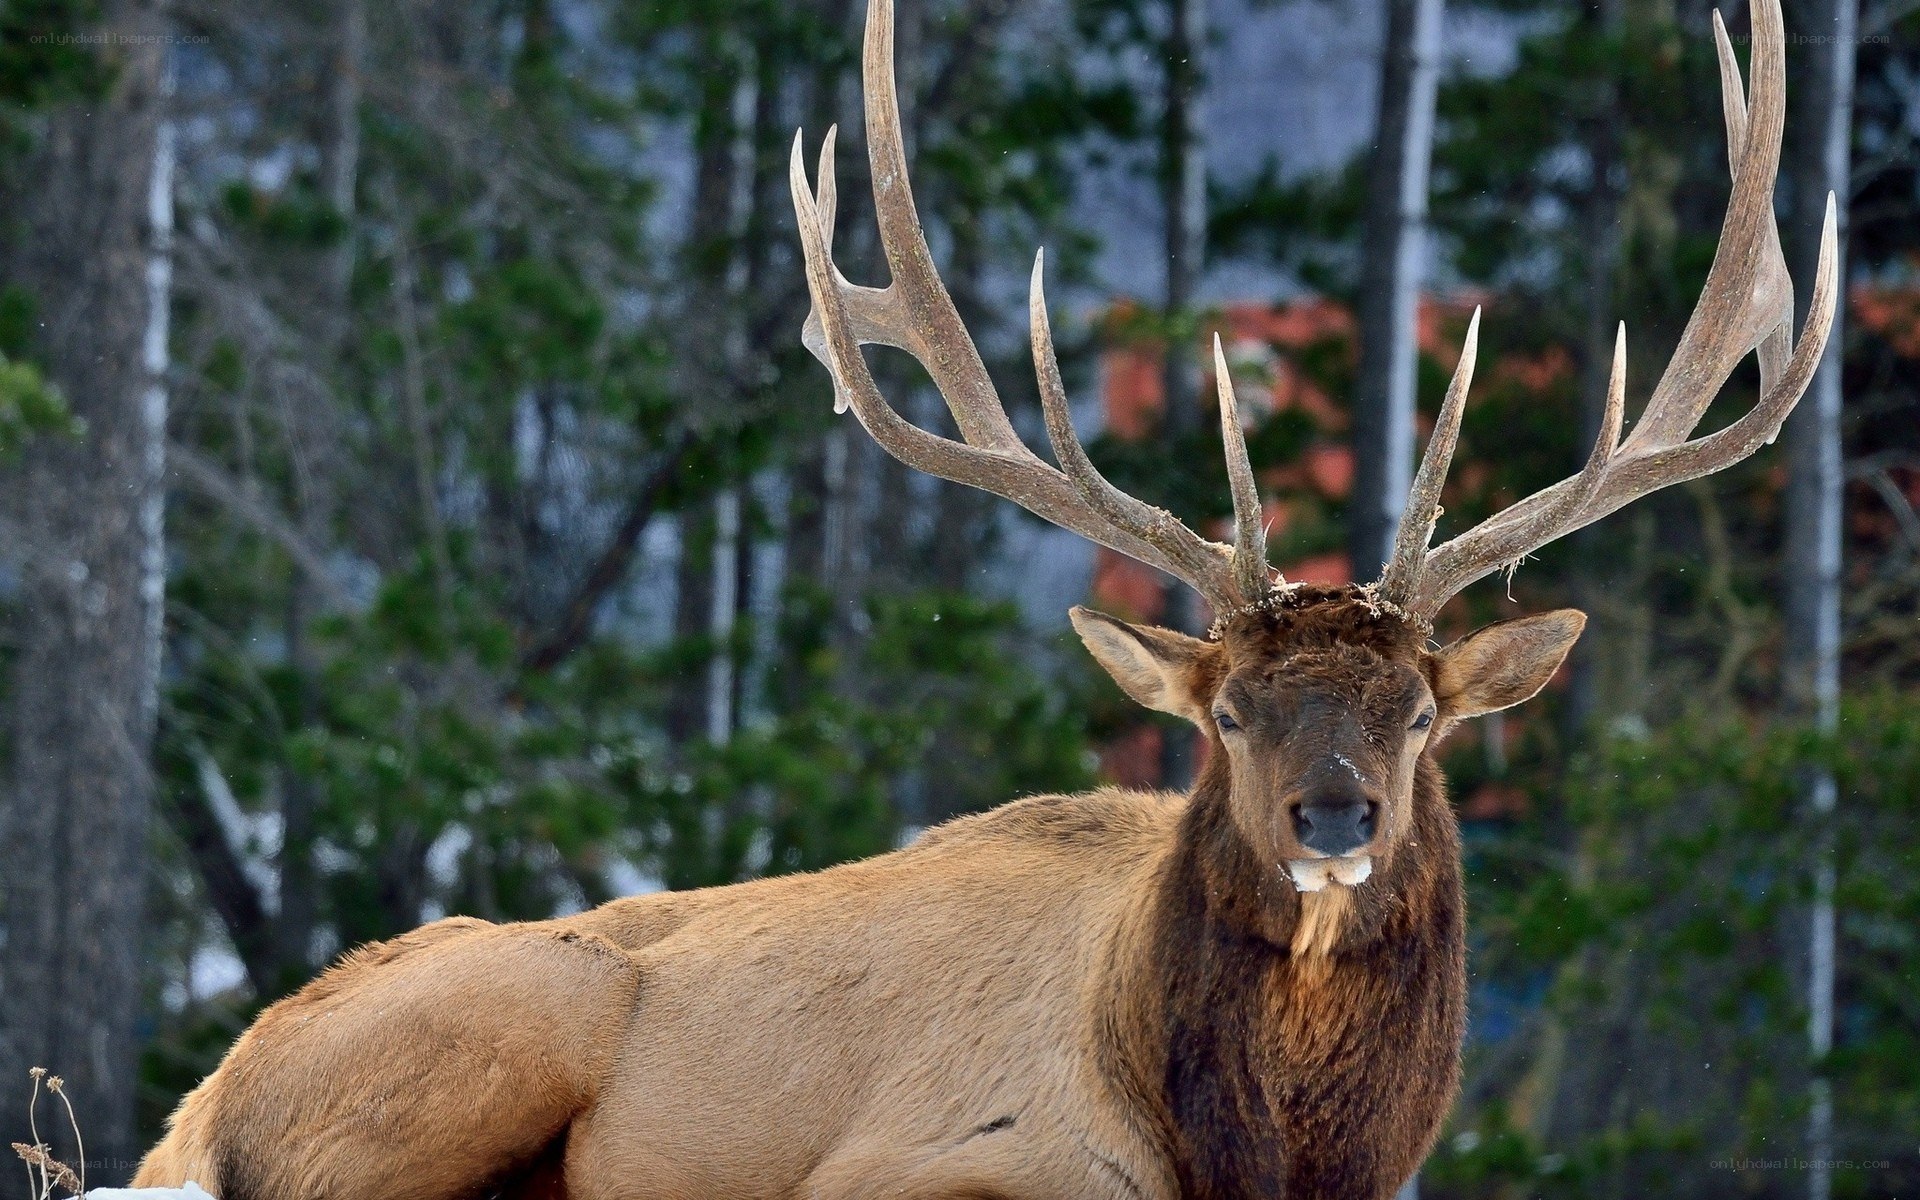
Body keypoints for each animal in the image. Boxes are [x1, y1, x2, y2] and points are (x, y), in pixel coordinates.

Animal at [134, 0, 1834, 1196]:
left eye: (1420, 714)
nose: (1336, 813)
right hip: (506, 1026)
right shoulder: (923, 1163)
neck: (1263, 1157)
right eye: (1226, 714)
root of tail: (196, 1109)